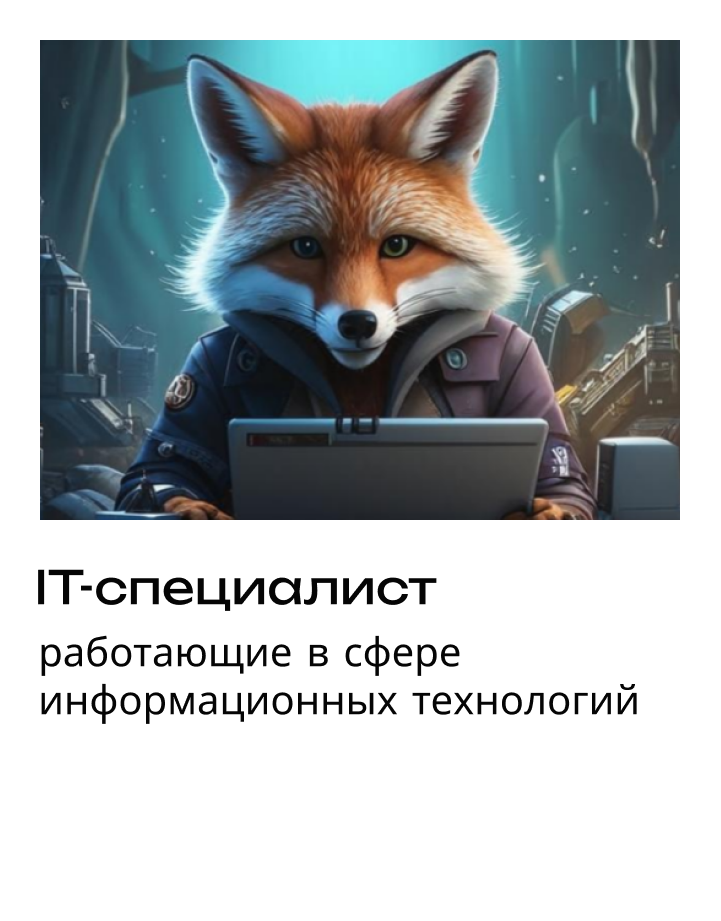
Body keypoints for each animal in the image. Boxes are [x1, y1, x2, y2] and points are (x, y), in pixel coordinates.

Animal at [118, 52, 596, 519]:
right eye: (306, 247)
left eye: (397, 245)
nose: (358, 324)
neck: (359, 386)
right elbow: (161, 467)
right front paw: (191, 508)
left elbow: (562, 480)